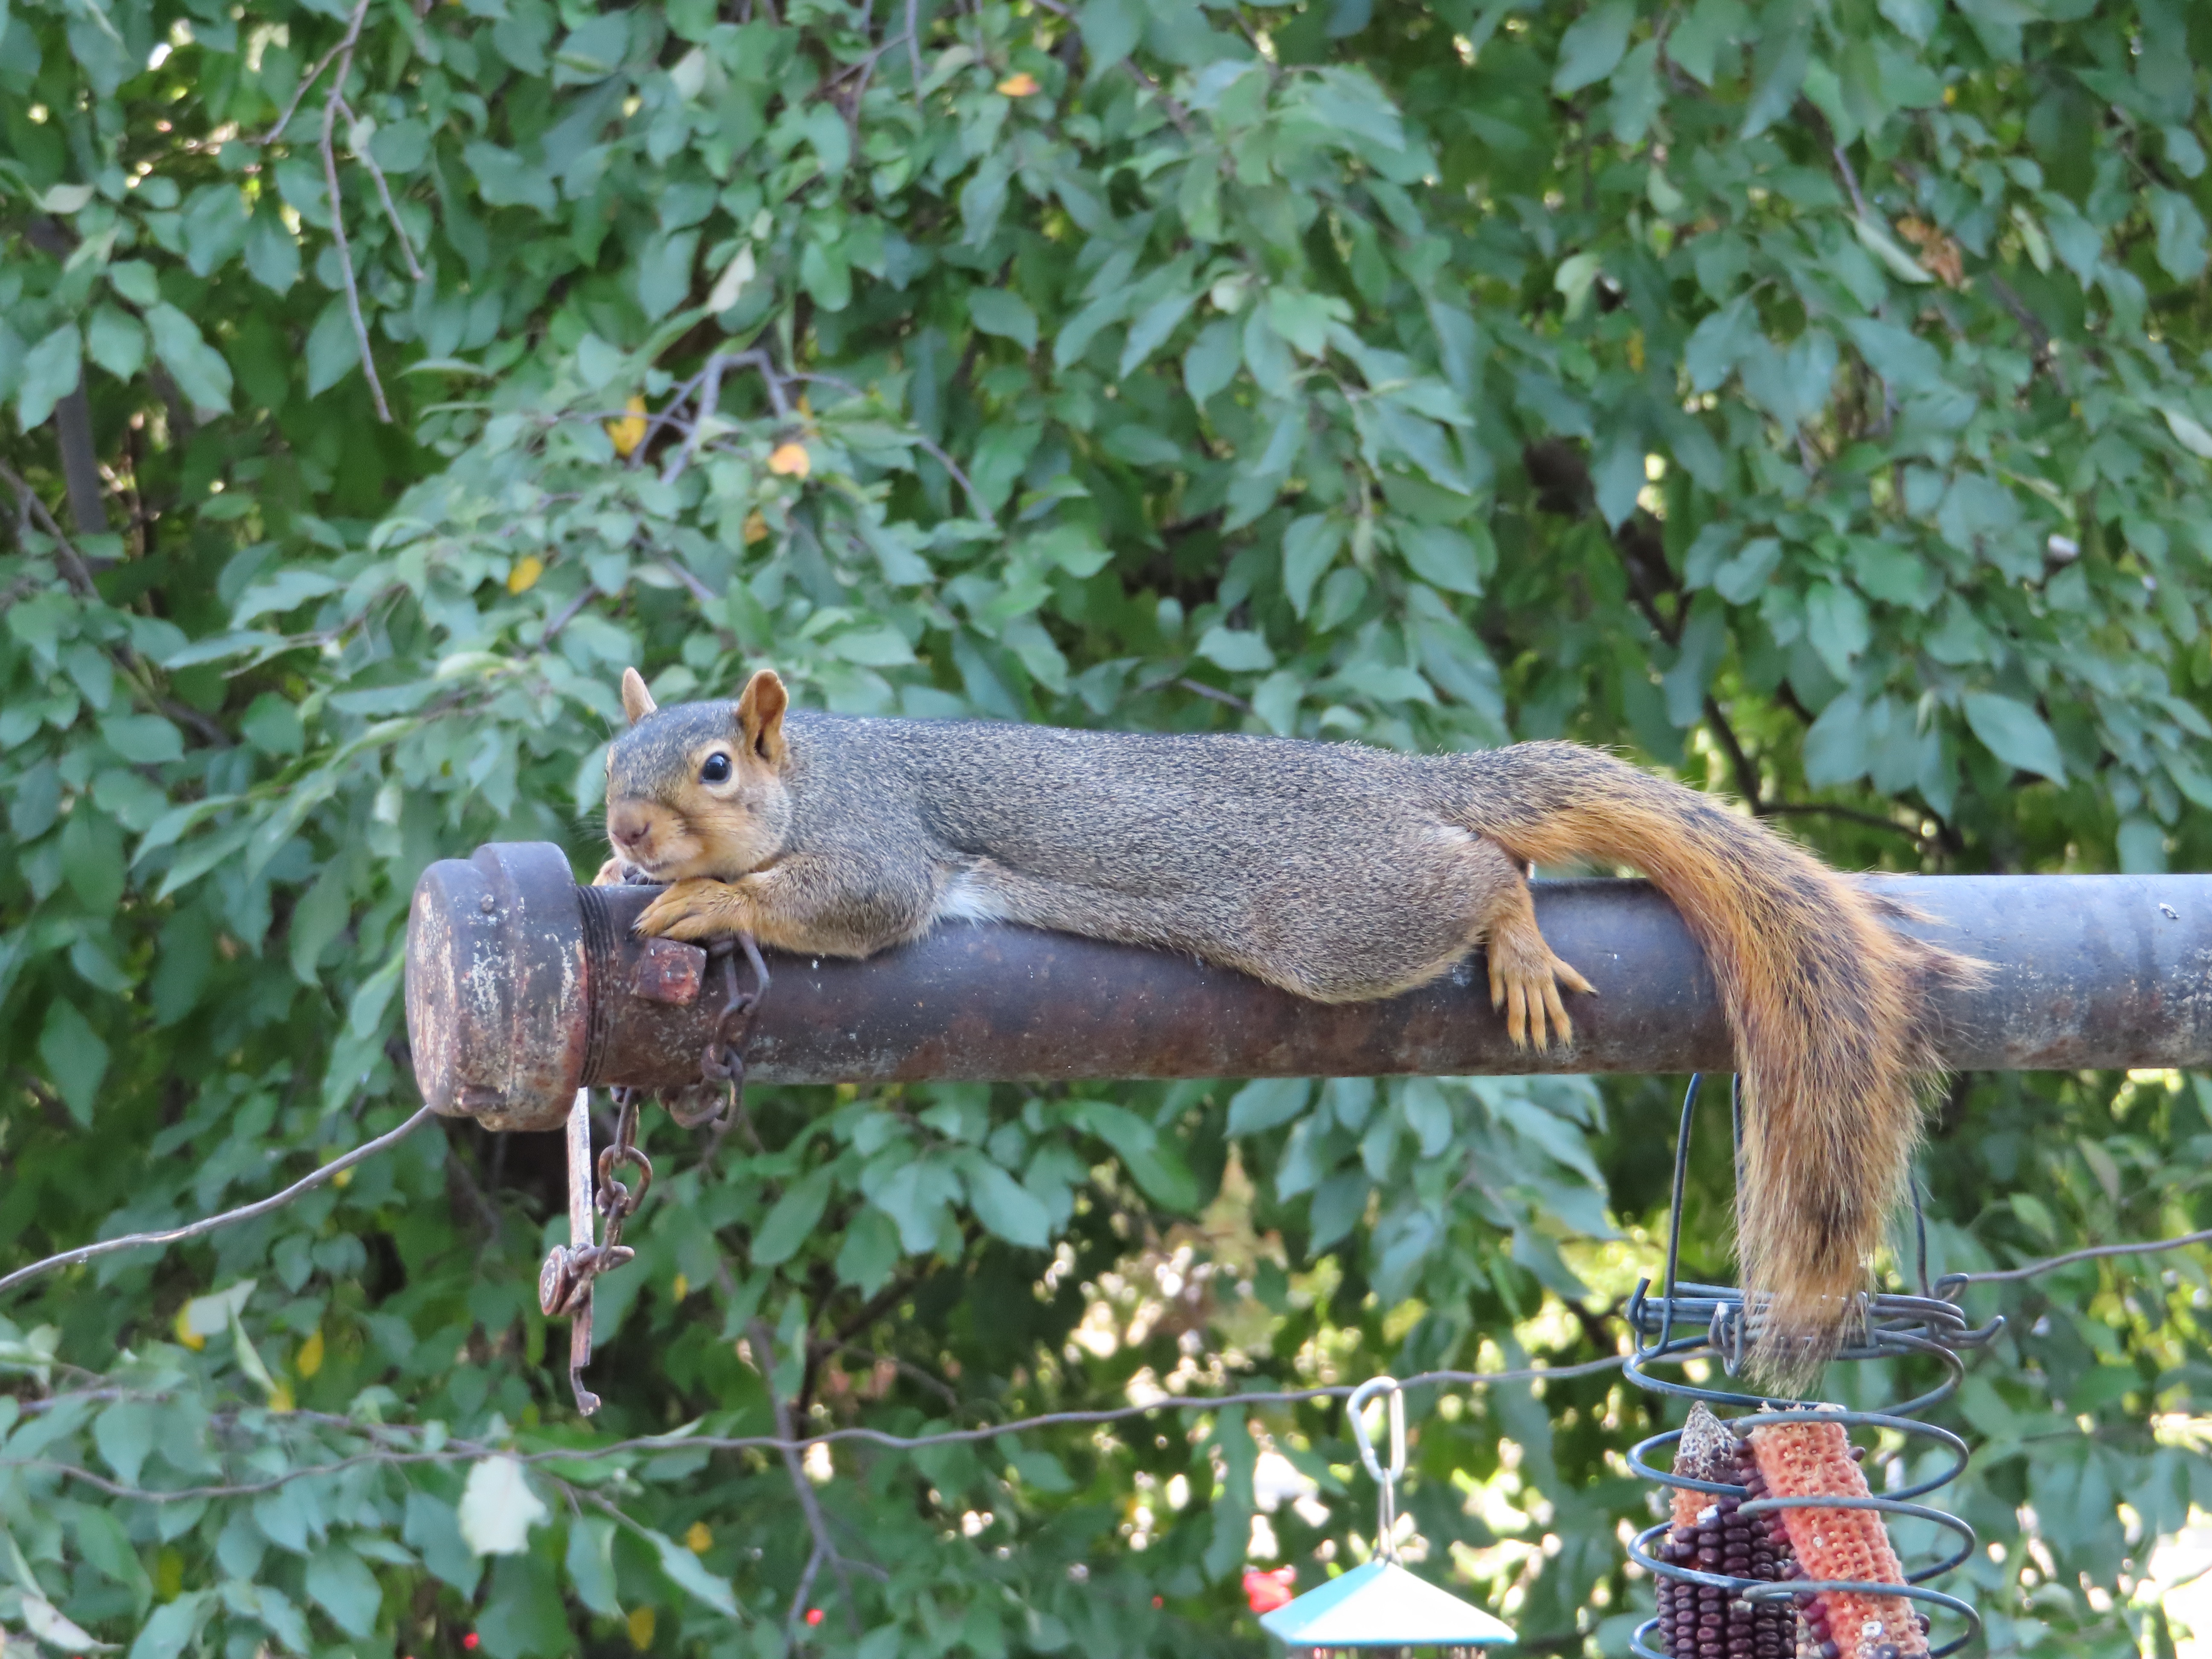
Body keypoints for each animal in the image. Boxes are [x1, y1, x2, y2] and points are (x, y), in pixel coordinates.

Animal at [602, 668, 1973, 1389]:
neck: (815, 773)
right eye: (613, 755)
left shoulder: (881, 843)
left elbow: (858, 902)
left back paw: (1512, 930)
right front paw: (631, 881)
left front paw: (711, 896)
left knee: (1488, 870)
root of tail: (1397, 780)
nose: (623, 830)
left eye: (717, 767)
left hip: (1337, 916)